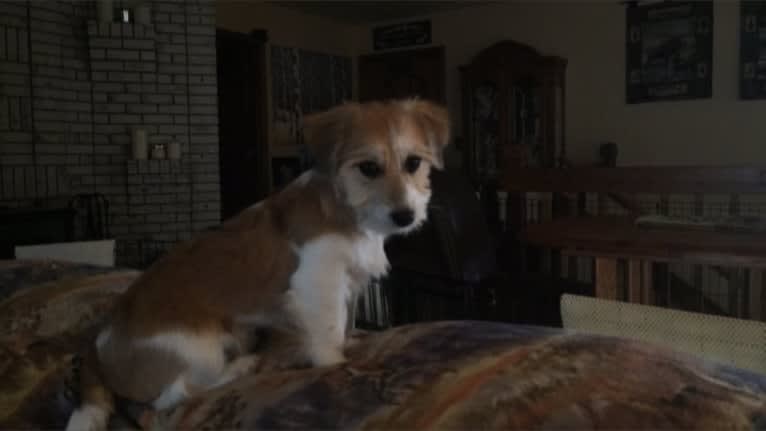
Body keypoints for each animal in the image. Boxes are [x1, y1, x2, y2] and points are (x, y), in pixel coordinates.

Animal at [66, 98, 452, 431]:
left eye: (413, 163)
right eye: (369, 168)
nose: (405, 216)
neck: (345, 209)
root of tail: (97, 348)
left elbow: (345, 324)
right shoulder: (319, 282)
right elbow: (329, 333)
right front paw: (337, 365)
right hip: (199, 348)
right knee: (173, 397)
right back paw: (243, 366)